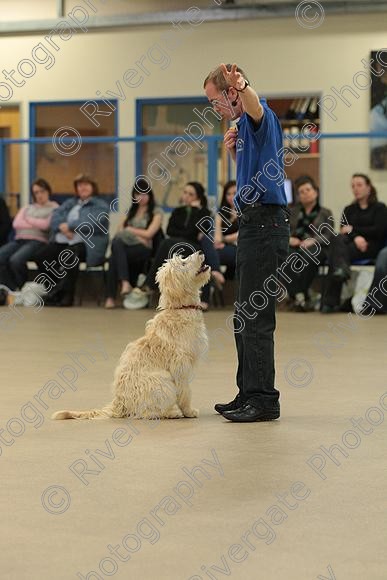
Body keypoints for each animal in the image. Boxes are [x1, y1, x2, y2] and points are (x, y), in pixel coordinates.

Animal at [51, 251, 211, 420]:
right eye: (183, 263)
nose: (200, 252)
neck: (180, 308)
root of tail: (119, 403)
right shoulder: (181, 365)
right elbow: (185, 391)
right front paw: (189, 411)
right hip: (161, 381)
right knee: (147, 412)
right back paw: (171, 412)